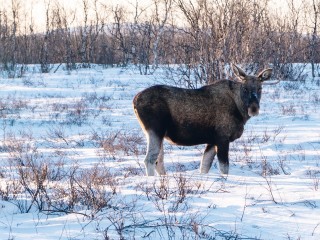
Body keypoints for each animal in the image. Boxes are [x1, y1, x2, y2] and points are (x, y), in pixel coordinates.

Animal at [132, 64, 276, 176]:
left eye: (260, 88)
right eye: (245, 88)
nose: (254, 108)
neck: (240, 111)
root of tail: (134, 101)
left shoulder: (212, 140)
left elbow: (204, 166)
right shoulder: (222, 137)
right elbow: (224, 168)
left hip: (158, 134)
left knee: (159, 160)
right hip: (155, 130)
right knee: (150, 159)